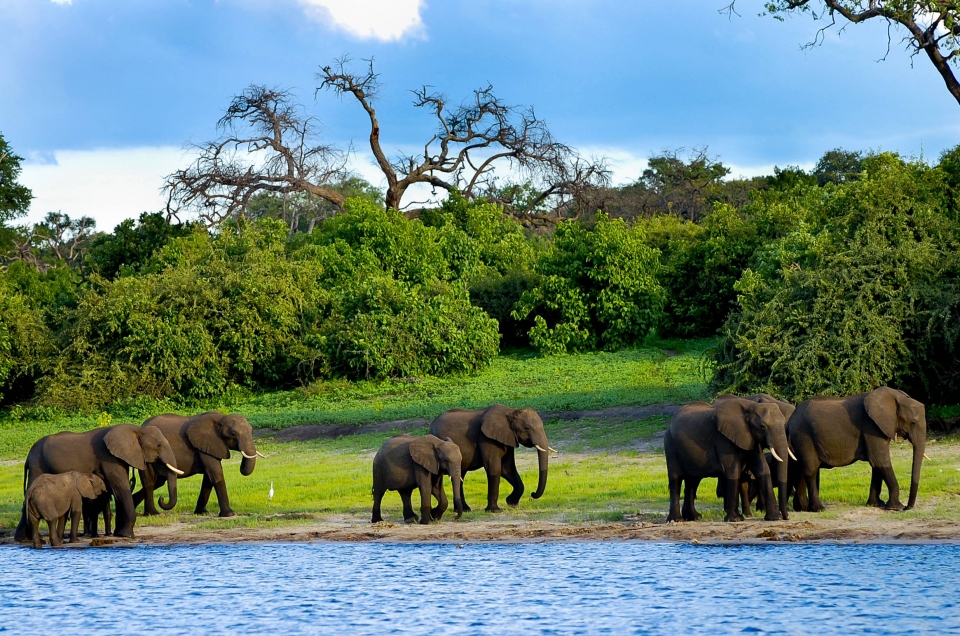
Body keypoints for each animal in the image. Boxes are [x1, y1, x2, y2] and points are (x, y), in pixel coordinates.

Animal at [14, 424, 183, 540]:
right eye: (159, 445)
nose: (162, 499)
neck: (135, 429)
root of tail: (28, 455)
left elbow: (117, 491)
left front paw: (119, 534)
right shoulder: (108, 457)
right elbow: (121, 487)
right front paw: (127, 535)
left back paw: (23, 538)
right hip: (38, 466)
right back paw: (23, 538)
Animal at [133, 412, 264, 516]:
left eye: (252, 431)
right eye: (233, 434)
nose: (161, 499)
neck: (221, 418)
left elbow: (209, 477)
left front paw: (202, 513)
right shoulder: (205, 445)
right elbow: (215, 473)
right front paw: (229, 514)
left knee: (158, 482)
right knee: (149, 481)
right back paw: (152, 514)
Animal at [428, 404, 556, 516]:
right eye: (527, 428)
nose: (532, 494)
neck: (511, 412)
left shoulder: (507, 438)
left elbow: (507, 468)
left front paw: (512, 504)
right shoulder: (486, 438)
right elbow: (494, 468)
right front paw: (495, 511)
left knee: (460, 475)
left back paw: (465, 510)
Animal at [664, 398, 792, 520]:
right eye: (762, 427)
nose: (786, 517)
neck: (751, 405)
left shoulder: (750, 438)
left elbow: (762, 469)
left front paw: (775, 518)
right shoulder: (723, 439)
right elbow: (733, 471)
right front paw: (736, 519)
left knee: (692, 481)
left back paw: (694, 517)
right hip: (670, 444)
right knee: (676, 479)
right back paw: (677, 520)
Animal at [784, 382, 928, 512]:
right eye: (913, 423)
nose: (907, 508)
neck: (895, 396)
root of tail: (790, 421)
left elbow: (876, 463)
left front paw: (875, 505)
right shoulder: (871, 426)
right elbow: (880, 460)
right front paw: (895, 507)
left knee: (800, 470)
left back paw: (802, 509)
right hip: (804, 437)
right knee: (811, 470)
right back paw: (819, 509)